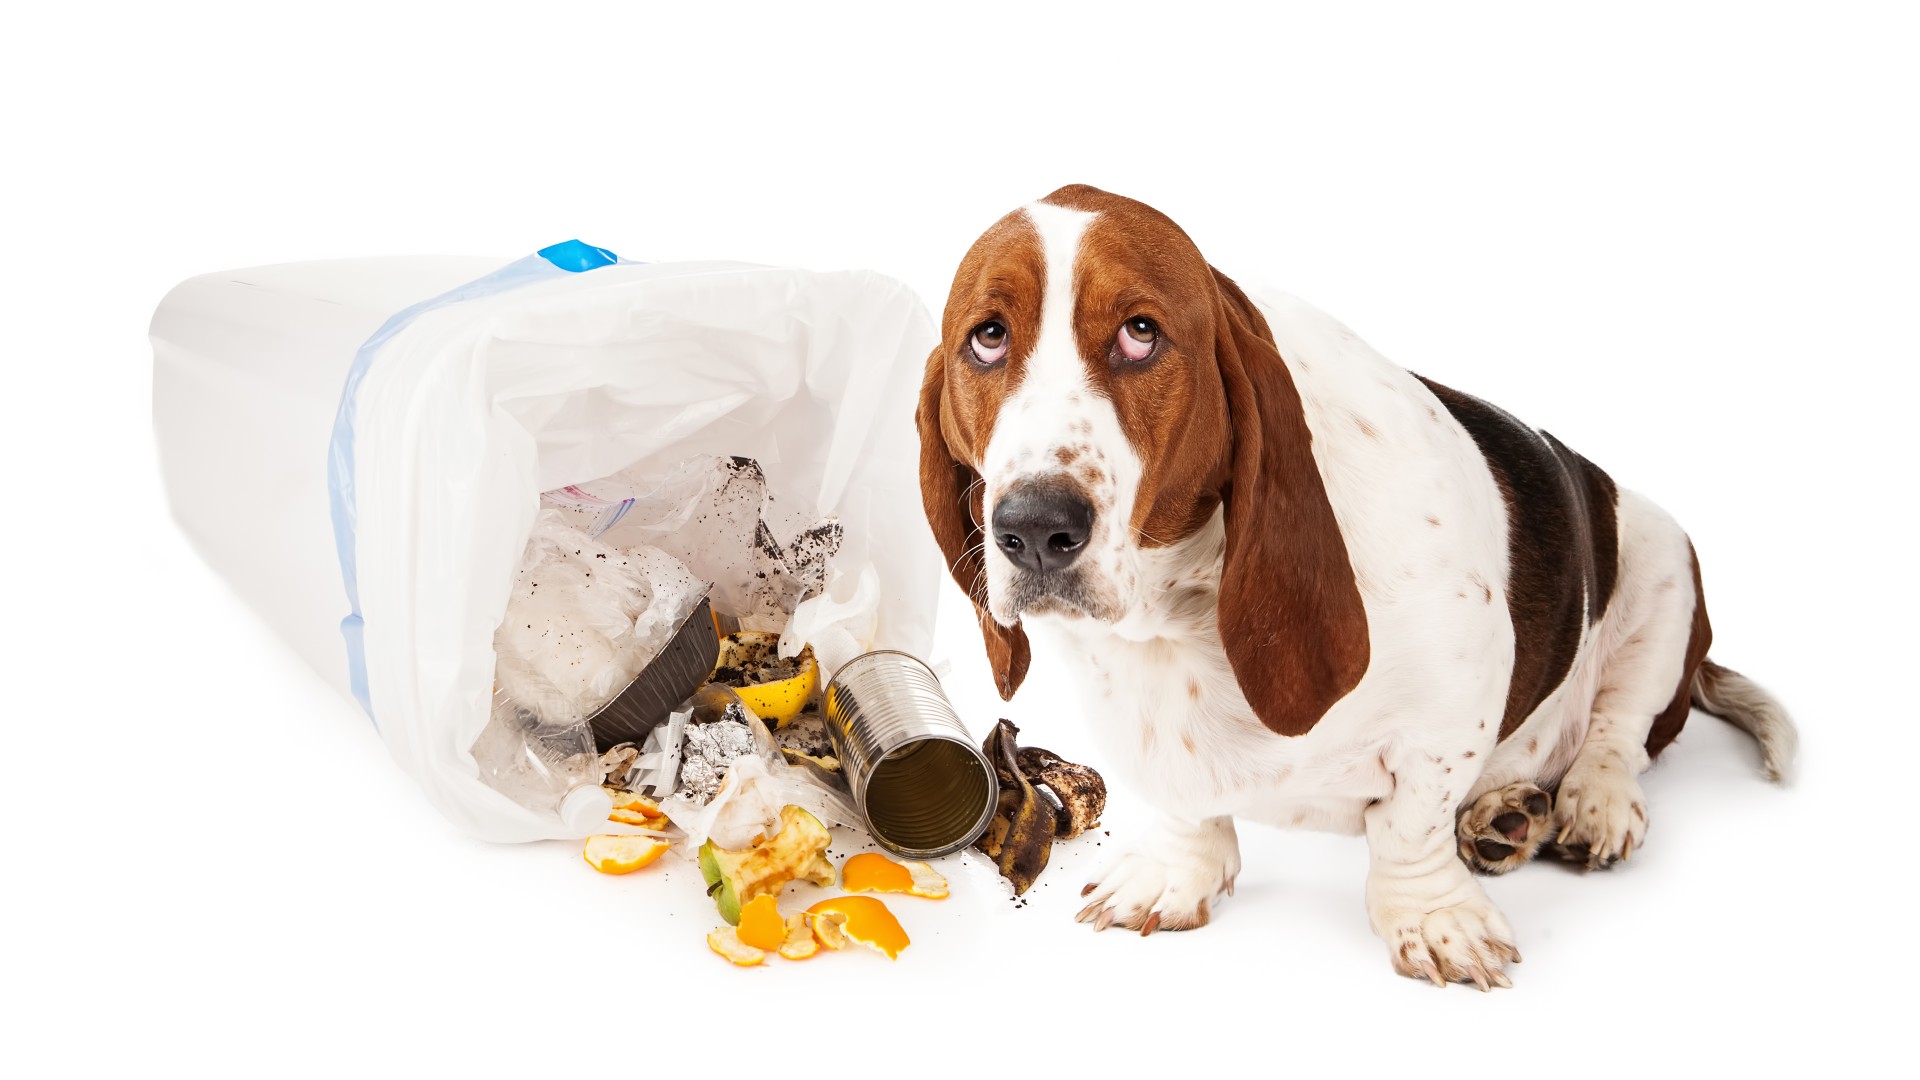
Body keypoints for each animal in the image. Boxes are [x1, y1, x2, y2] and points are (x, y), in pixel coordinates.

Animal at [921, 182, 1789, 983]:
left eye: (1141, 332)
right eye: (988, 338)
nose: (1035, 529)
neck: (1180, 606)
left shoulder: (1452, 709)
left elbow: (1410, 823)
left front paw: (1433, 919)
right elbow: (1184, 804)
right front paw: (1177, 874)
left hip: (1663, 561)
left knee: (1620, 733)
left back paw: (1588, 803)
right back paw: (1506, 812)